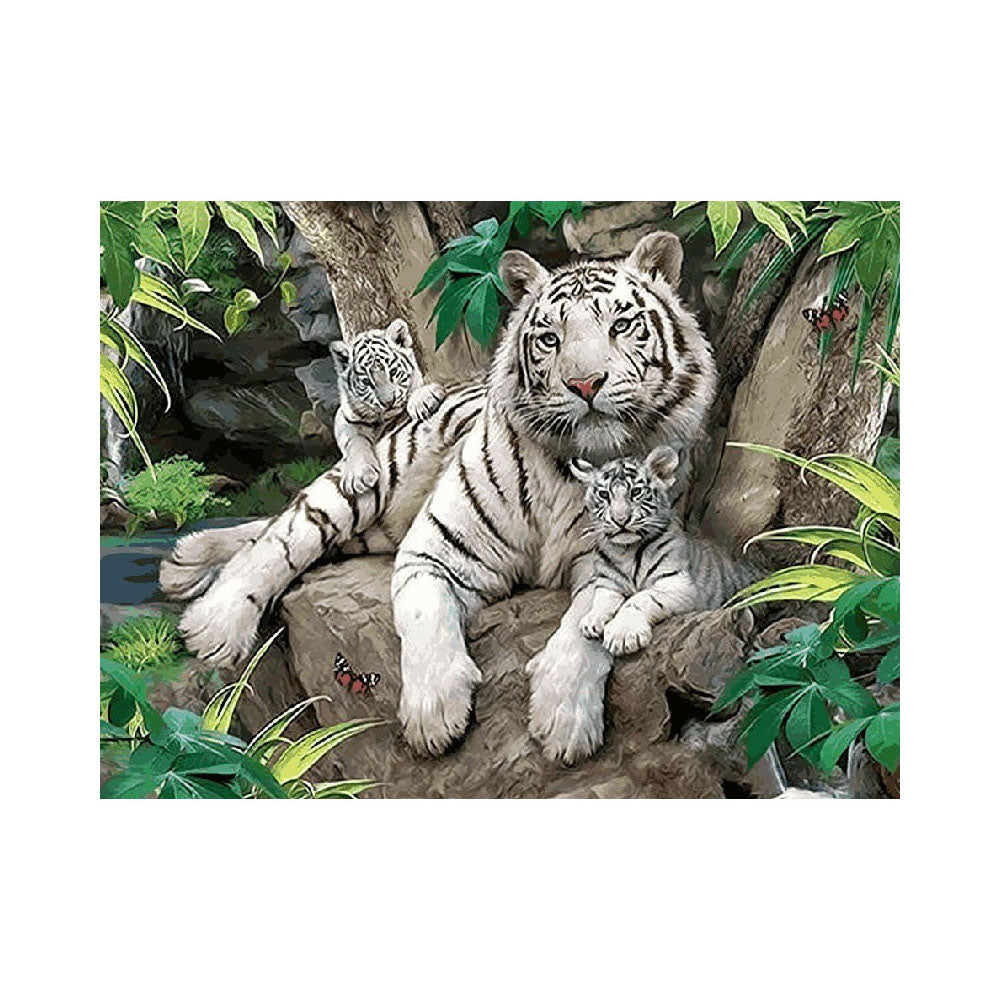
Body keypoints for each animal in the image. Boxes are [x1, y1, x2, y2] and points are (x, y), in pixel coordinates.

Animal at [330, 318, 446, 496]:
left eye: (392, 372)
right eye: (366, 382)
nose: (388, 401)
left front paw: (422, 401)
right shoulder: (345, 416)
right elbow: (354, 440)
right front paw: (359, 475)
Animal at [571, 445, 757, 656]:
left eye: (636, 492)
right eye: (604, 495)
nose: (620, 520)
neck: (626, 551)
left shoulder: (678, 584)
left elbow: (639, 599)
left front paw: (622, 635)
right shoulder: (609, 582)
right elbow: (602, 598)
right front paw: (591, 620)